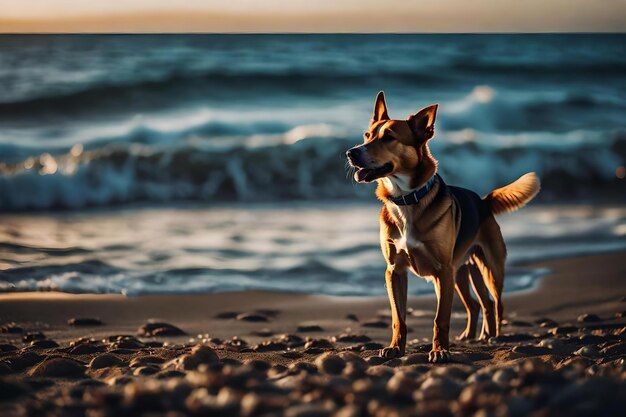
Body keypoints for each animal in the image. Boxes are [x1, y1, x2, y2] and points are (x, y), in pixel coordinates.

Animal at [344, 91, 540, 360]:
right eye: (367, 135)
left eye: (389, 137)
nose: (350, 153)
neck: (407, 199)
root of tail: (483, 202)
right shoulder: (395, 271)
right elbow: (398, 318)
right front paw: (395, 348)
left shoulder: (443, 272)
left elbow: (440, 318)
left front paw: (440, 351)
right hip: (462, 272)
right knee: (480, 304)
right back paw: (477, 335)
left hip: (489, 267)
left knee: (497, 303)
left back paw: (495, 336)